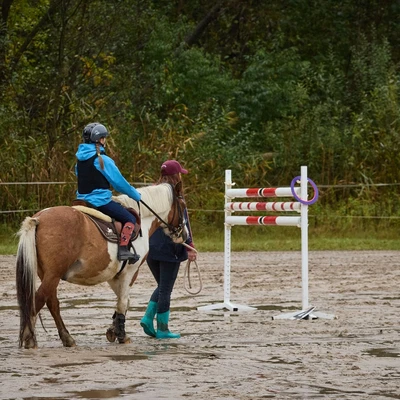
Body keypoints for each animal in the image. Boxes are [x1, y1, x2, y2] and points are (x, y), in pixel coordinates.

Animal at [14, 183, 186, 348]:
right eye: (183, 206)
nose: (183, 234)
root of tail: (39, 218)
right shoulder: (130, 272)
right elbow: (123, 302)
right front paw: (122, 335)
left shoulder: (113, 275)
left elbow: (123, 301)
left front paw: (113, 330)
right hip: (53, 275)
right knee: (37, 300)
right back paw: (29, 339)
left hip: (47, 275)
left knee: (52, 303)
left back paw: (67, 338)